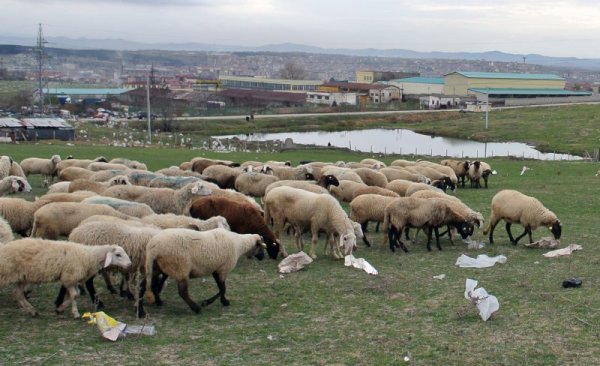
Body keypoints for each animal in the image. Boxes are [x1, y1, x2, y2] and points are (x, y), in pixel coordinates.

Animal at [0, 239, 130, 318]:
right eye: (118, 254)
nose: (129, 264)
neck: (89, 256)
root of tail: (4, 247)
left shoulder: (71, 278)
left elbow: (75, 294)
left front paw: (60, 308)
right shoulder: (70, 276)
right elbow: (75, 295)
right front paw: (75, 313)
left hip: (22, 277)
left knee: (17, 293)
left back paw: (32, 311)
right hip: (6, 273)